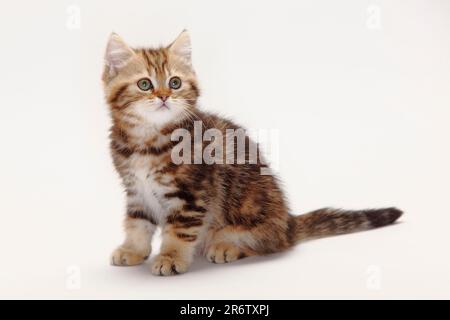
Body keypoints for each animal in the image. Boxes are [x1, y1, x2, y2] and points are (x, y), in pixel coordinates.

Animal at [103, 30, 404, 276]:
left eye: (175, 82)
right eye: (145, 84)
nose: (165, 96)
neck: (146, 141)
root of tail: (287, 224)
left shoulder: (191, 196)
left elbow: (179, 231)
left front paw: (171, 257)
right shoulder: (136, 191)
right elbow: (137, 222)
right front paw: (133, 249)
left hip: (255, 223)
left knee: (269, 244)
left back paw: (227, 245)